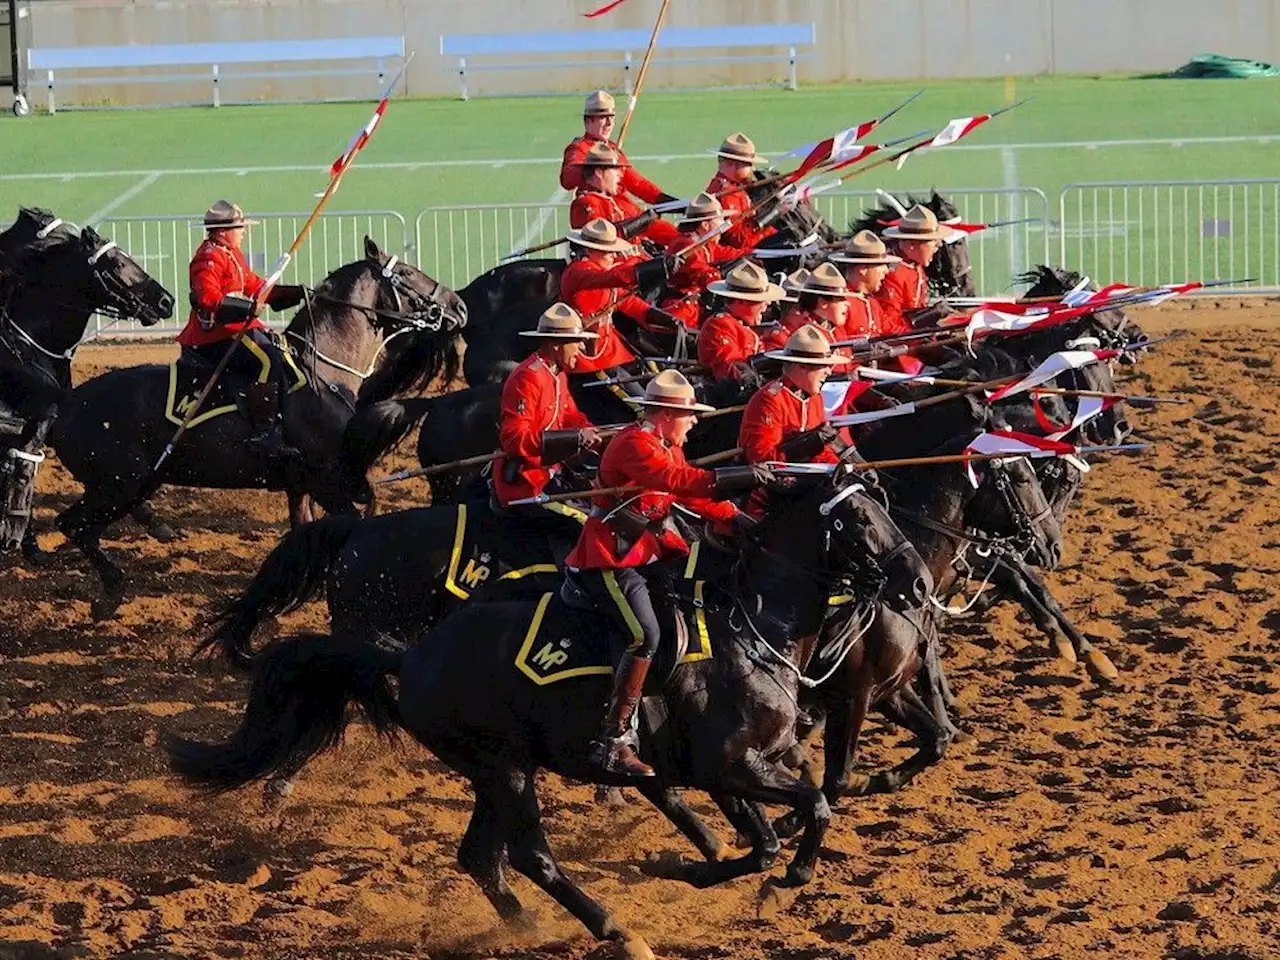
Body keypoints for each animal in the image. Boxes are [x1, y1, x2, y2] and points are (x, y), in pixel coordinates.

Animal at [51, 236, 471, 619]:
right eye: (406, 274)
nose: (459, 305)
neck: (323, 371)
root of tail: (64, 405)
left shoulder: (302, 486)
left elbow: (305, 529)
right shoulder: (328, 484)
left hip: (135, 485)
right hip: (119, 486)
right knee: (73, 525)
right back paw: (110, 592)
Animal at [170, 471, 931, 957]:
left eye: (885, 506)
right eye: (857, 519)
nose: (920, 581)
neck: (751, 626)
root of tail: (410, 658)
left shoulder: (752, 764)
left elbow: (781, 821)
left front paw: (704, 869)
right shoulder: (731, 766)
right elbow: (801, 817)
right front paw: (767, 877)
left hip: (494, 771)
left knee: (482, 856)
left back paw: (530, 925)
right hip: (504, 768)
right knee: (529, 853)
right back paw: (616, 930)